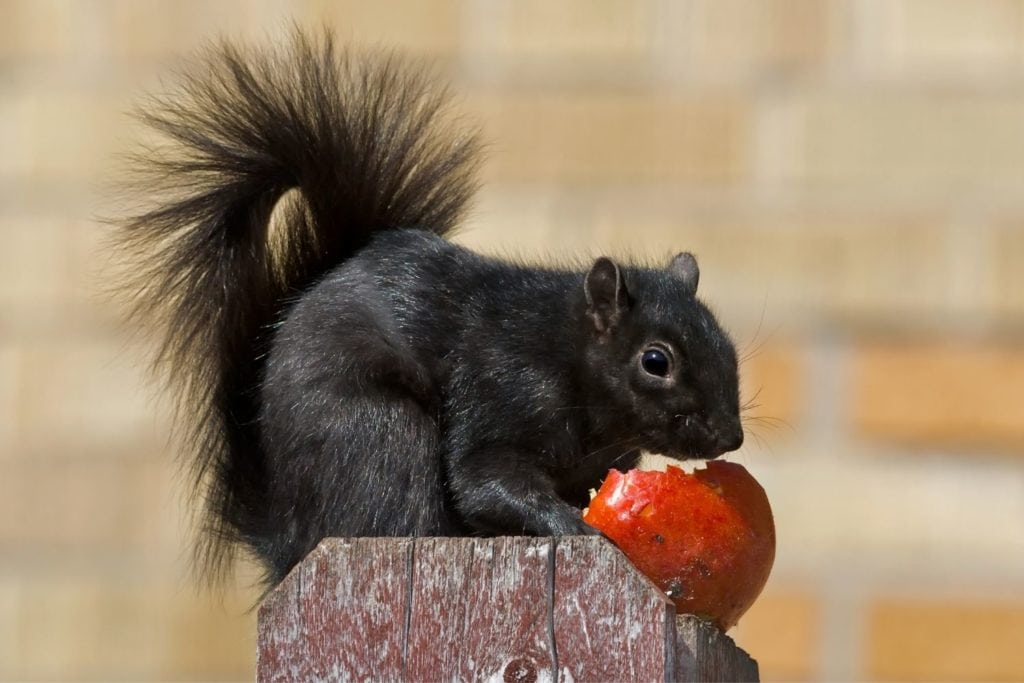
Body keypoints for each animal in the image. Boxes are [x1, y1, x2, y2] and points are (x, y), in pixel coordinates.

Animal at [116, 30, 744, 587]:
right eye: (655, 362)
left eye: (729, 346)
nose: (731, 437)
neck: (566, 356)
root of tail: (291, 539)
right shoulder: (501, 394)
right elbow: (484, 479)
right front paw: (578, 529)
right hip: (379, 432)